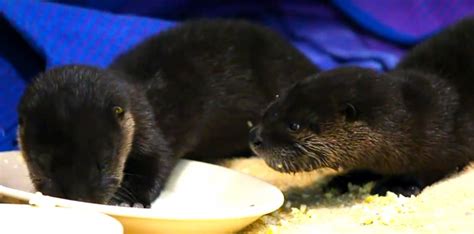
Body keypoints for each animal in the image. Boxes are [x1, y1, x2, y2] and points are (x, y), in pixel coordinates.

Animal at [17, 19, 318, 207]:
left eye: (103, 162)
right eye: (41, 163)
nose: (78, 199)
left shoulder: (152, 131)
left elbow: (158, 162)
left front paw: (130, 199)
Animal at [248, 17, 474, 196]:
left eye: (294, 126)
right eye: (272, 106)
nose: (255, 137)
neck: (416, 119)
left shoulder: (444, 141)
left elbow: (432, 167)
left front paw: (397, 184)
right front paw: (344, 179)